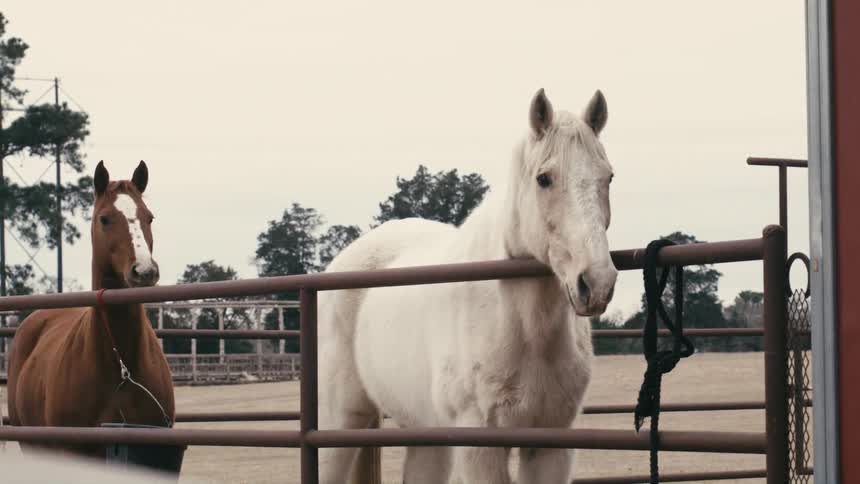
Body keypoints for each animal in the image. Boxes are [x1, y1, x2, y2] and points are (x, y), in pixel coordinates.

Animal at [318, 89, 617, 484]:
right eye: (544, 178)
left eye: (608, 177)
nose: (596, 282)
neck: (521, 327)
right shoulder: (480, 447)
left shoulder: (550, 445)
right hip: (340, 422)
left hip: (425, 436)